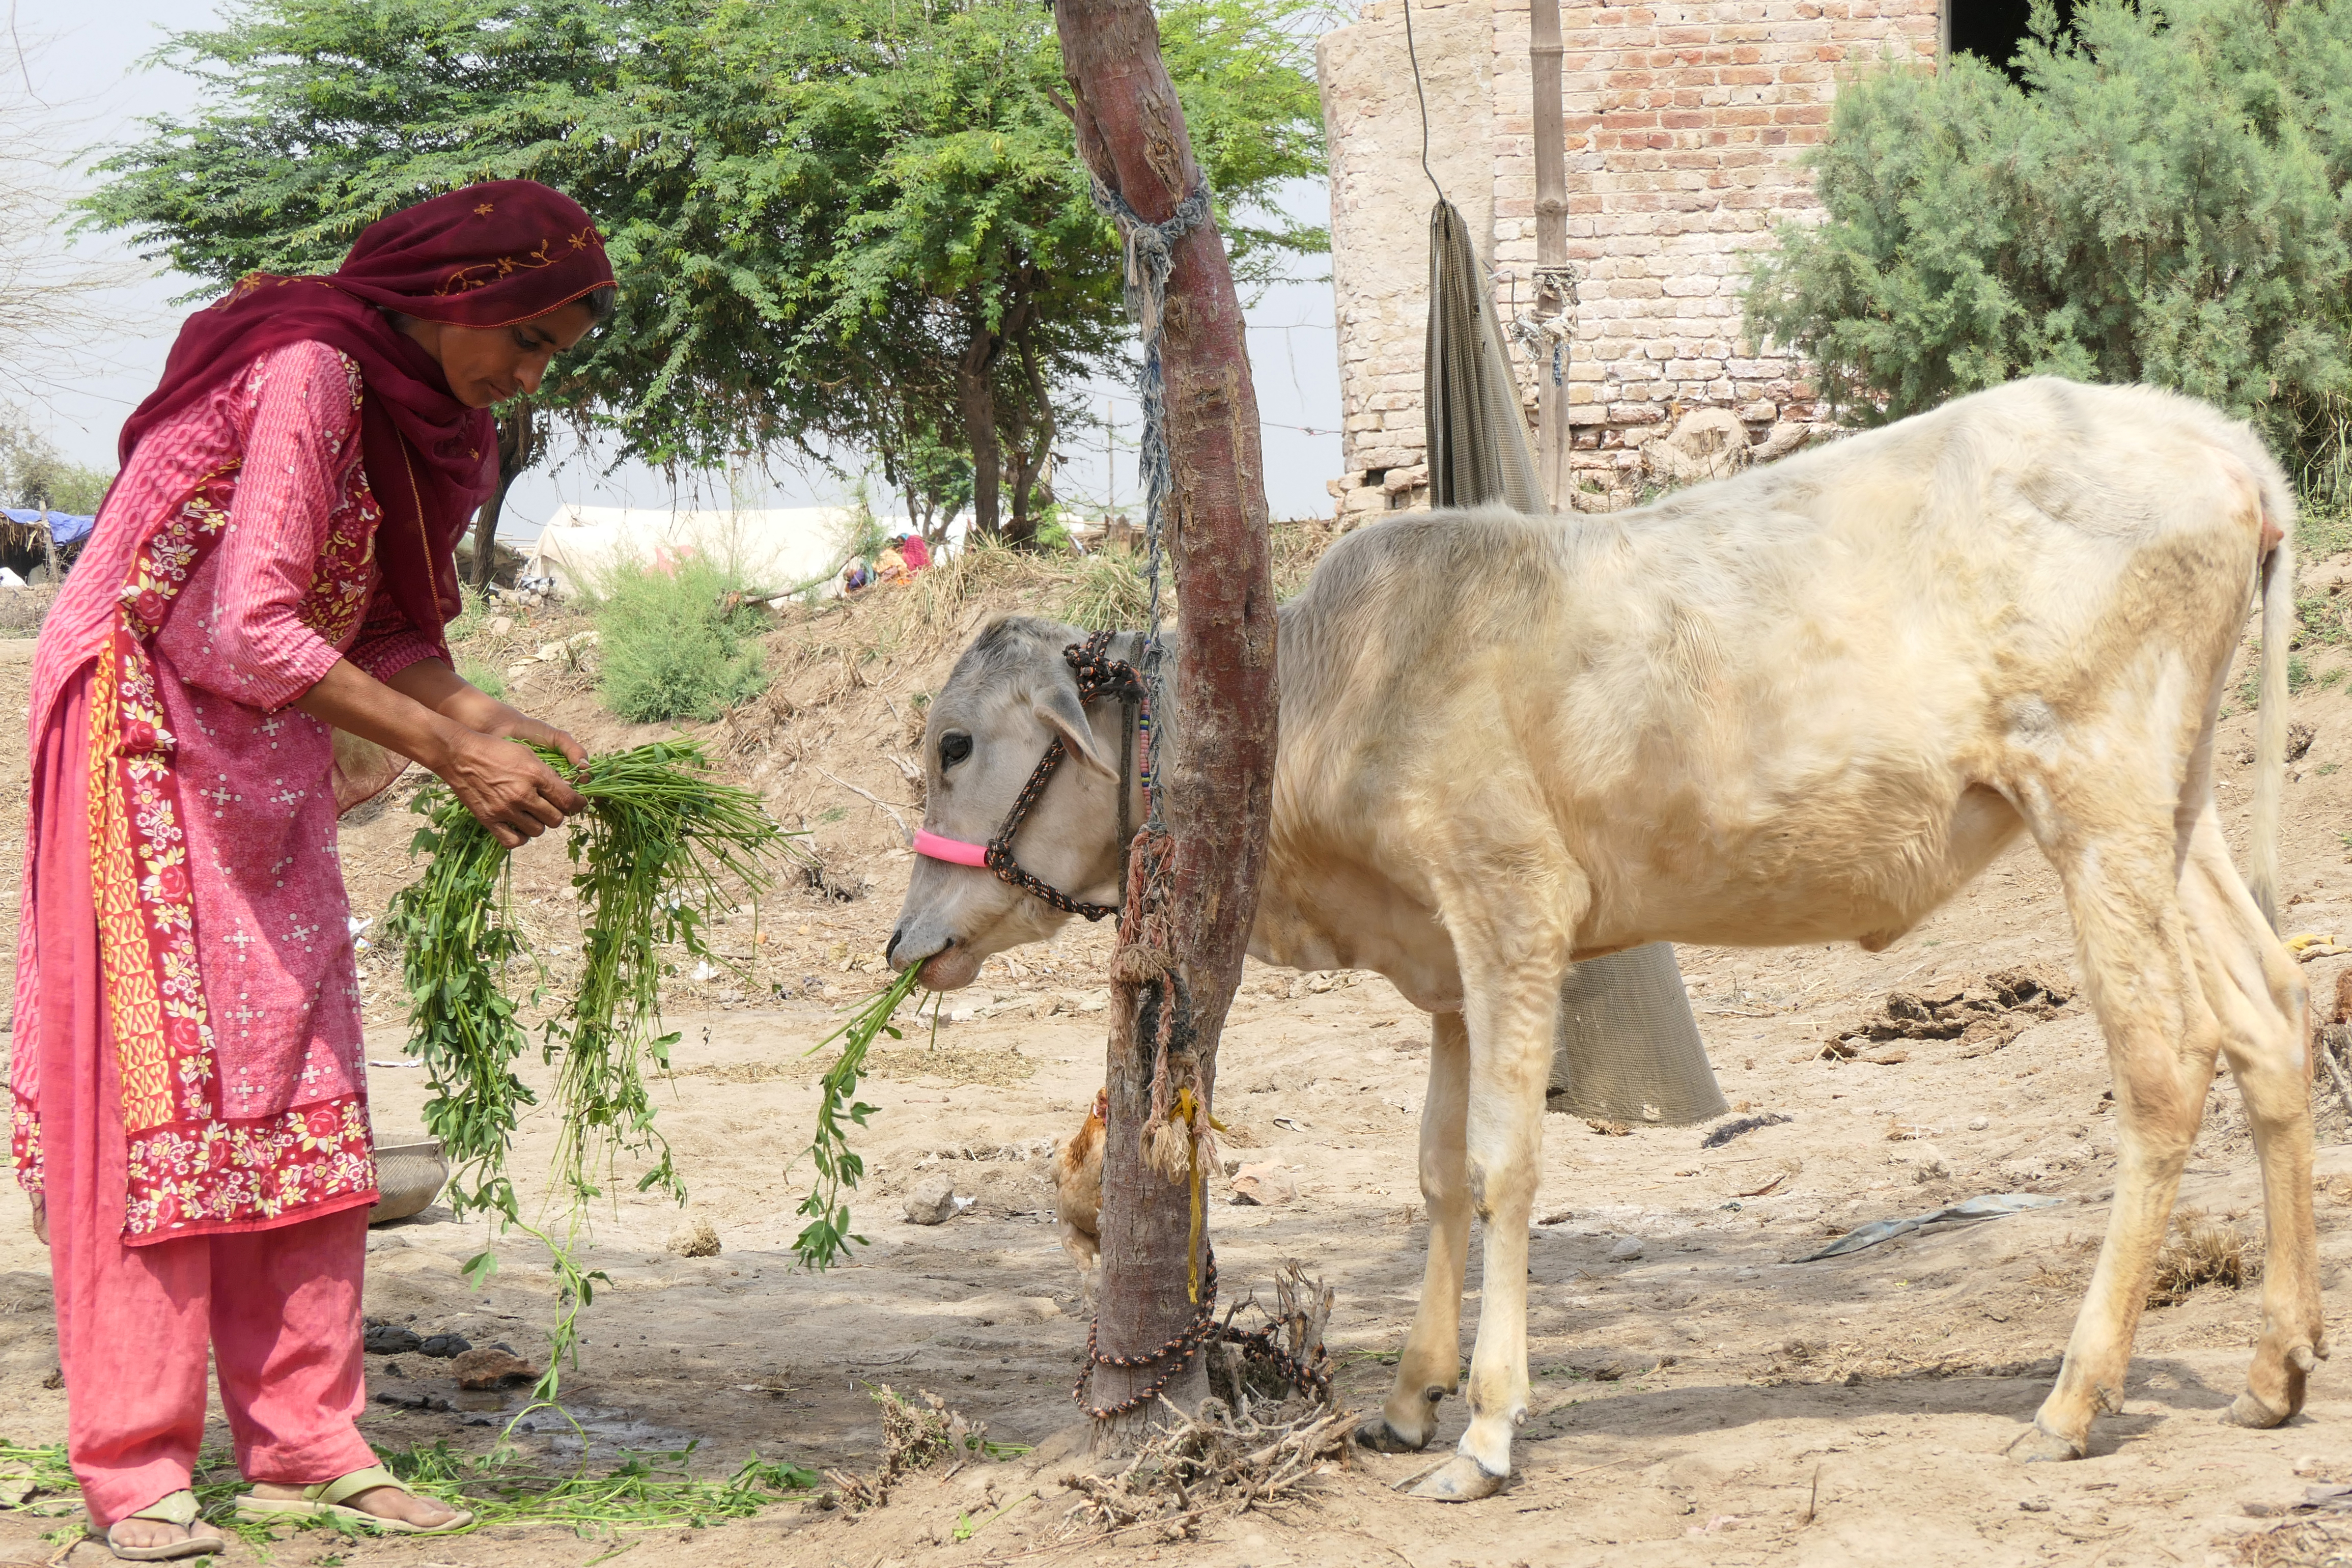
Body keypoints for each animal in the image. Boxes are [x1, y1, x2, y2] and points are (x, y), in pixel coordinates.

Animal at [885, 378, 2322, 1500]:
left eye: (955, 744)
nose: (904, 939)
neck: (1328, 688)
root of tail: (2220, 444)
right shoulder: (1447, 972)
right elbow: (1435, 1171)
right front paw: (1410, 1397)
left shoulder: (1512, 916)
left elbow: (1506, 1165)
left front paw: (1488, 1429)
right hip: (2174, 813)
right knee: (2270, 1021)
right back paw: (2276, 1363)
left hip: (2095, 800)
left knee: (2166, 1061)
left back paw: (2075, 1400)